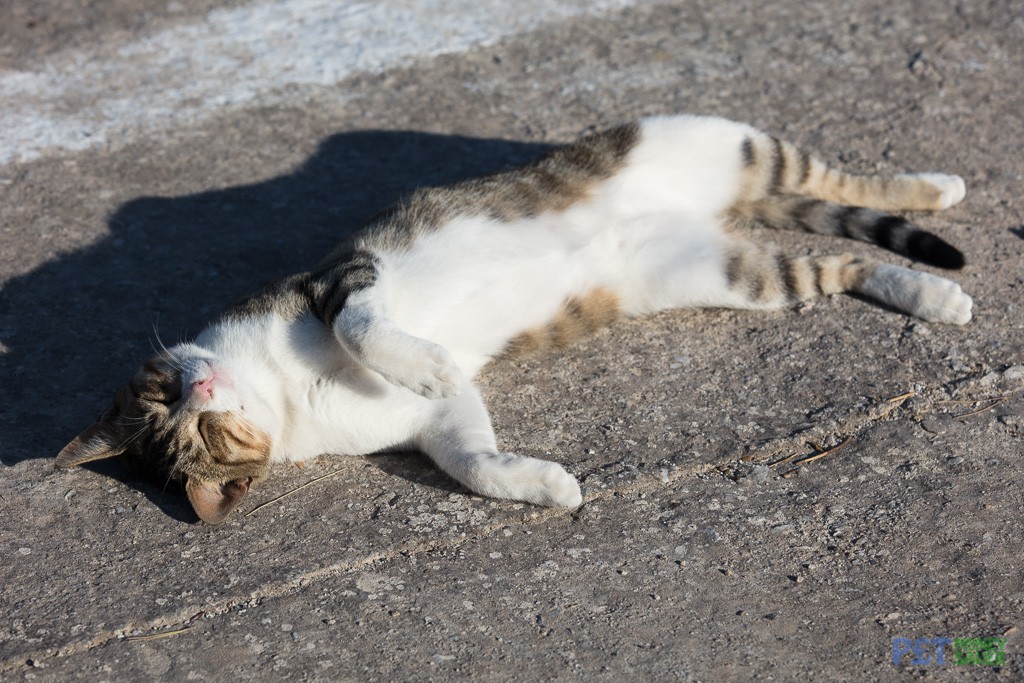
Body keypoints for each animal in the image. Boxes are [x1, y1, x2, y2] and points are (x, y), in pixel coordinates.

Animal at [54, 116, 966, 524]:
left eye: (170, 401)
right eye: (194, 438)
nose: (204, 387)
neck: (282, 391)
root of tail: (718, 210)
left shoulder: (341, 276)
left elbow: (361, 327)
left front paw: (417, 356)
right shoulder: (431, 424)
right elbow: (473, 459)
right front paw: (544, 484)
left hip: (716, 141)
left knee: (837, 181)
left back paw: (937, 186)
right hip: (730, 275)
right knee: (843, 262)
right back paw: (930, 293)